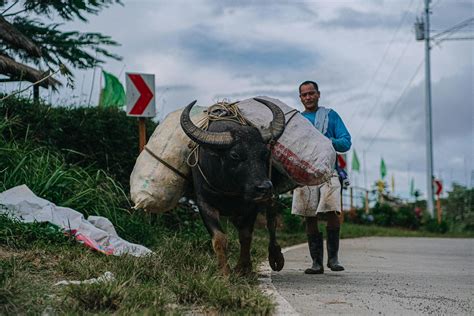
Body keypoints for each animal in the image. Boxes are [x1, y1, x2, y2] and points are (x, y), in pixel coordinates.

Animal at [180, 97, 286, 276]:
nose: (264, 188)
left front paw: (243, 268)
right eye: (235, 155)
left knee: (271, 222)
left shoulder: (251, 205)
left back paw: (275, 255)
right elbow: (219, 238)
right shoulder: (204, 203)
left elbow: (246, 235)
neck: (228, 186)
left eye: (264, 153)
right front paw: (224, 272)